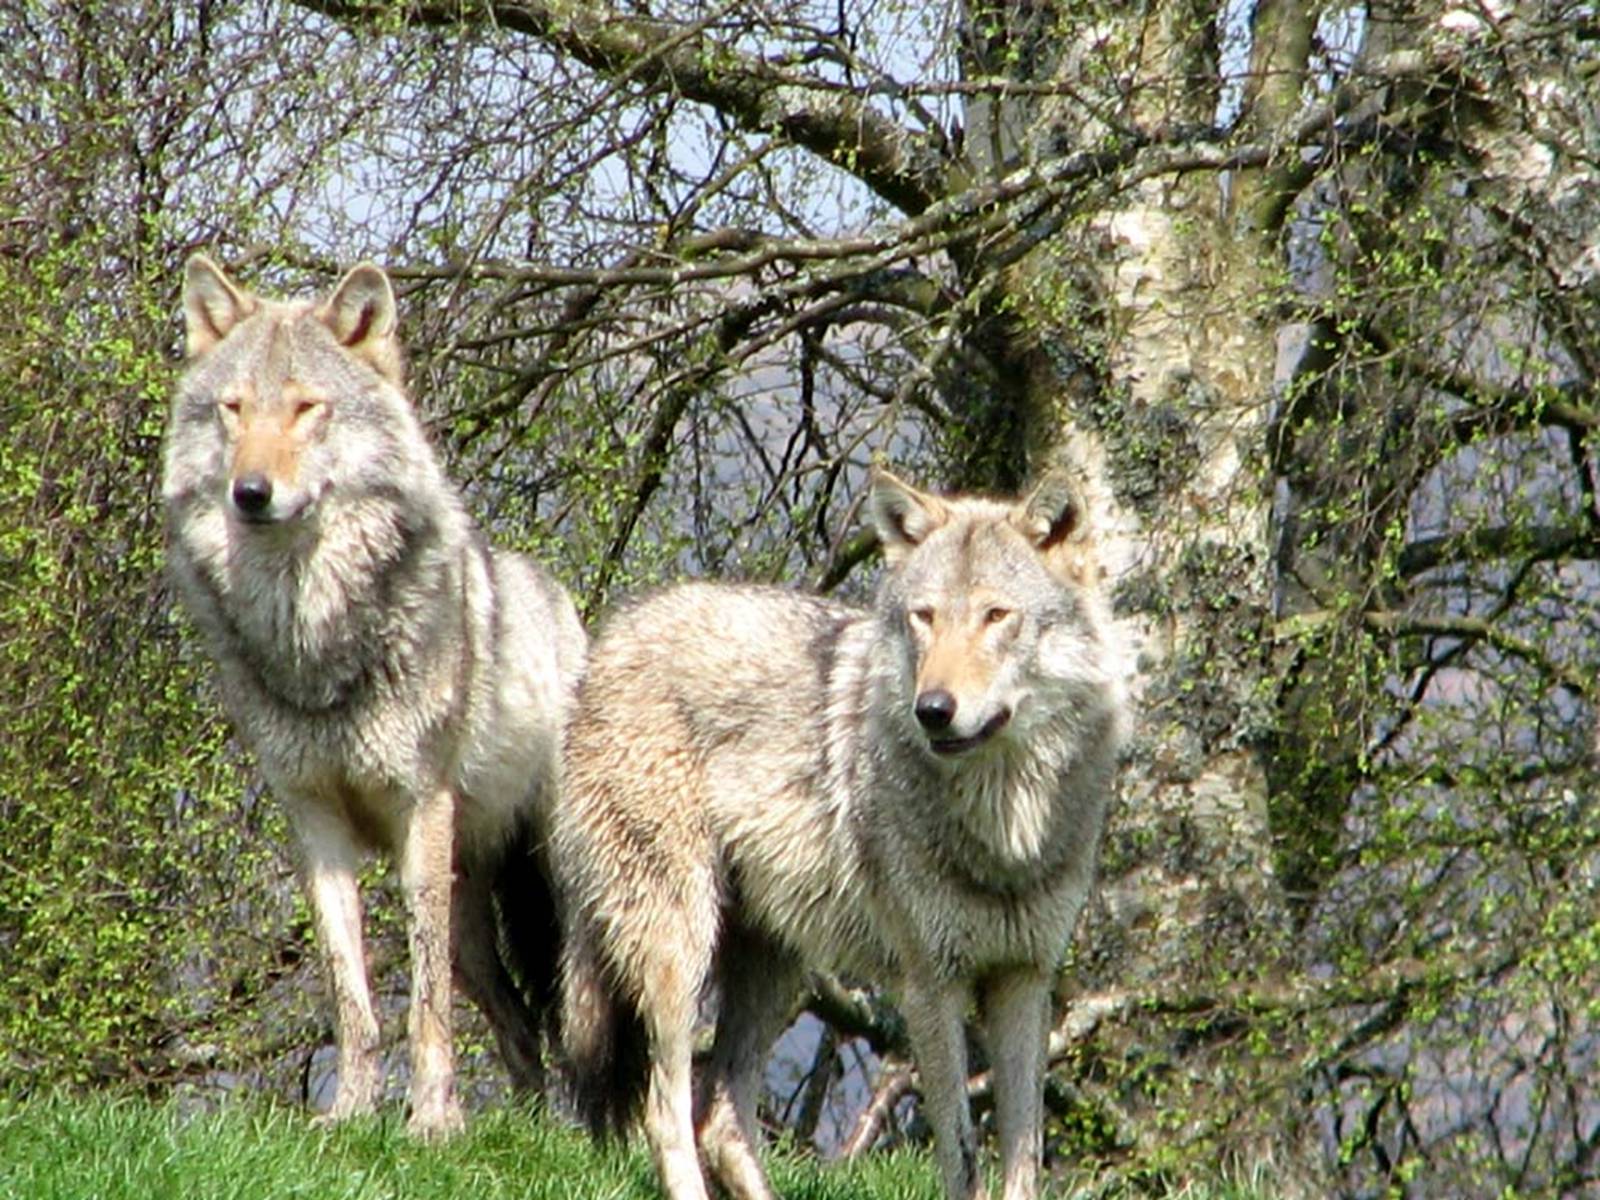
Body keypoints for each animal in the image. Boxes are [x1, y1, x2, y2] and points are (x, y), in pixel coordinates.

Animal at [160, 254, 588, 1139]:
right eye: (233, 410)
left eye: (305, 408)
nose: (250, 492)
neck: (316, 640)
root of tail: (565, 601)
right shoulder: (314, 821)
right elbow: (350, 993)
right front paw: (351, 1113)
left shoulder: (419, 806)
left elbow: (422, 1005)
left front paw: (431, 1125)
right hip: (469, 920)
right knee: (516, 1023)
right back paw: (526, 1125)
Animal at [556, 470, 1132, 1200]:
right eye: (925, 617)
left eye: (996, 617)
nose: (933, 709)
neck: (1006, 827)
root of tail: (610, 635)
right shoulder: (930, 986)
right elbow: (961, 1156)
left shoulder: (1024, 981)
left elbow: (1021, 1163)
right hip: (679, 950)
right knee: (666, 1112)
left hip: (777, 968)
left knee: (720, 1112)